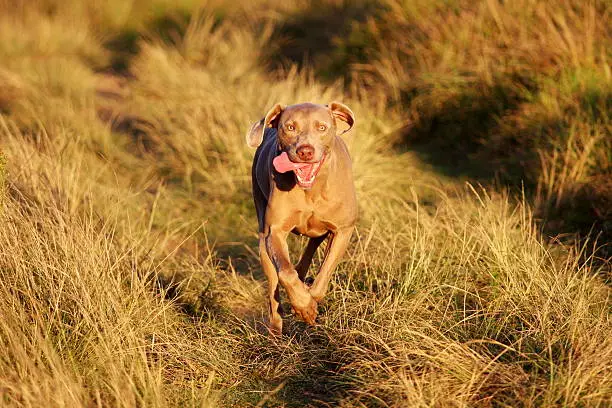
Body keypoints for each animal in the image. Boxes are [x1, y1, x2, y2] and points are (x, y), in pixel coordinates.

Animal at [245, 102, 356, 334]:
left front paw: (308, 302)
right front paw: (304, 306)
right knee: (274, 286)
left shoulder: (343, 229)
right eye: (290, 127)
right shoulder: (275, 231)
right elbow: (285, 273)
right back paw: (276, 330)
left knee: (313, 246)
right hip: (262, 235)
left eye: (321, 127)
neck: (311, 190)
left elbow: (324, 274)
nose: (305, 151)